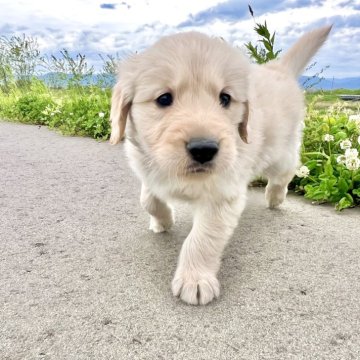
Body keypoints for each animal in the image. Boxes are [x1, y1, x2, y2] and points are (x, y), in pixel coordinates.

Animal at [109, 25, 332, 306]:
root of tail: (277, 68)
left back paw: (275, 197)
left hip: (279, 152)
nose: (204, 149)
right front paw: (163, 221)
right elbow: (148, 199)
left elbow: (202, 239)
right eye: (164, 98)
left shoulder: (222, 195)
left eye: (225, 98)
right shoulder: (148, 169)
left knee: (286, 171)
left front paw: (195, 280)